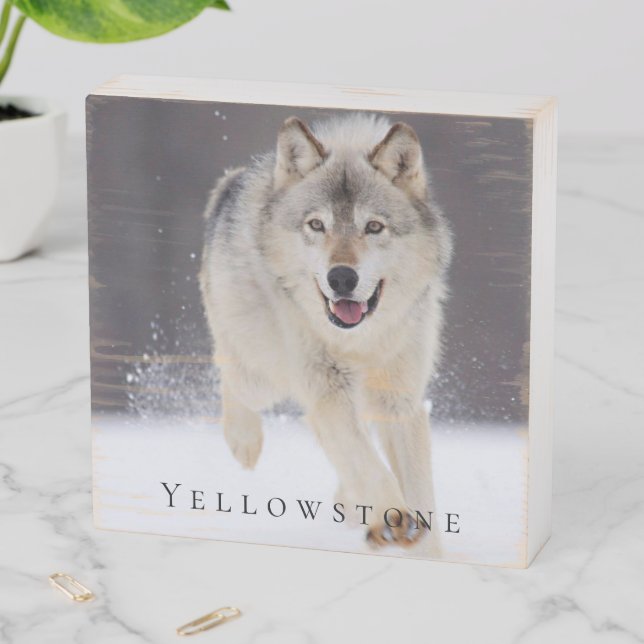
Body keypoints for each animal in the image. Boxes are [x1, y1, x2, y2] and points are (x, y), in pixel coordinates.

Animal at [199, 113, 452, 549]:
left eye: (373, 227)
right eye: (317, 224)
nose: (342, 278)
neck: (360, 341)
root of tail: (234, 181)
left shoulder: (399, 402)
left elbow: (416, 492)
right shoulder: (328, 389)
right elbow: (370, 466)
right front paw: (393, 517)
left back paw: (348, 502)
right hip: (264, 373)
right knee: (230, 371)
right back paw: (244, 441)